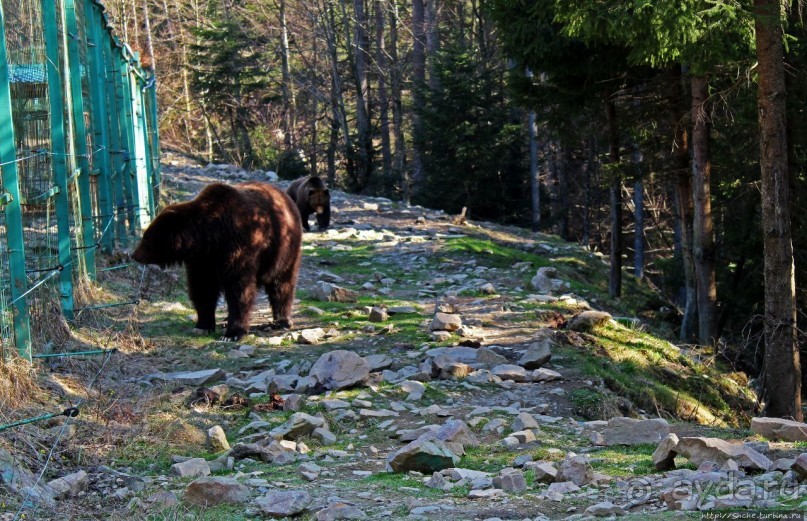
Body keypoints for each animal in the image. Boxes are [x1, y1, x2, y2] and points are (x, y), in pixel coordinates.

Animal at [133, 181, 304, 340]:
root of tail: (285, 196)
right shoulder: (202, 260)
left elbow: (239, 290)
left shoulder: (238, 248)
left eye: (146, 237)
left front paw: (233, 333)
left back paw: (282, 320)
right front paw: (203, 325)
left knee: (282, 284)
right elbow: (203, 288)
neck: (210, 239)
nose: (134, 255)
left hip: (284, 250)